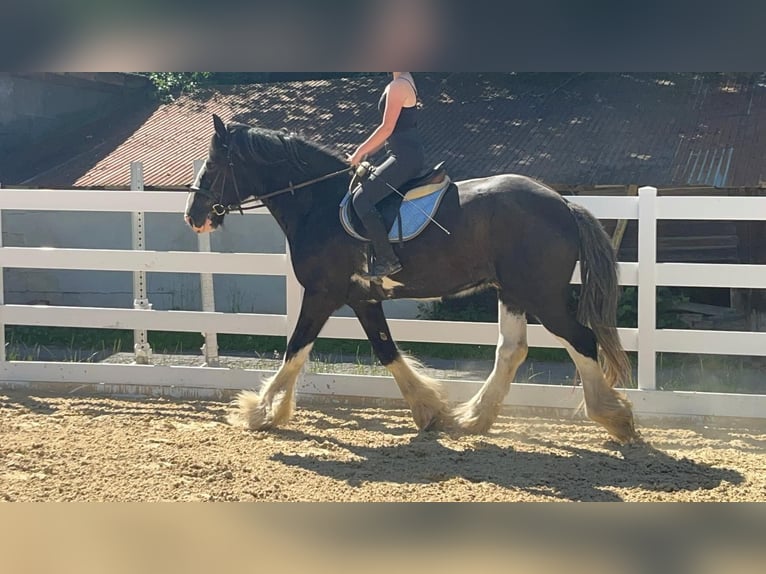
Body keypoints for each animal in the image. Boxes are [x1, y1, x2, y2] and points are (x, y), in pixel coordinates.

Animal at [184, 114, 638, 443]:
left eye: (214, 164)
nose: (194, 215)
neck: (319, 204)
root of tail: (563, 203)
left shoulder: (321, 293)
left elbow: (295, 349)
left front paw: (259, 411)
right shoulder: (363, 298)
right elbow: (386, 351)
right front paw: (429, 409)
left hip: (540, 295)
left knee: (581, 340)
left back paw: (615, 418)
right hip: (512, 293)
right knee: (512, 350)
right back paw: (473, 418)